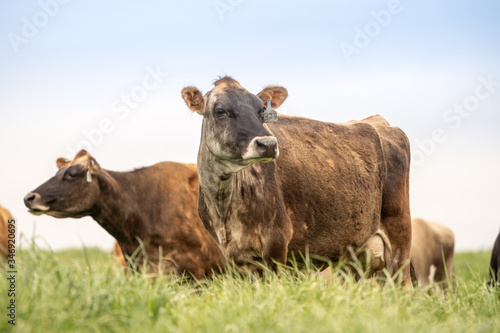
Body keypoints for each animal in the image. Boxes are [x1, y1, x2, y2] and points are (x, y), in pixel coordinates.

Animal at [182, 76, 412, 284]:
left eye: (262, 111)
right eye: (220, 111)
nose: (268, 144)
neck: (224, 207)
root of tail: (377, 122)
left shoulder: (276, 241)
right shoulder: (233, 256)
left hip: (400, 237)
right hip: (351, 255)